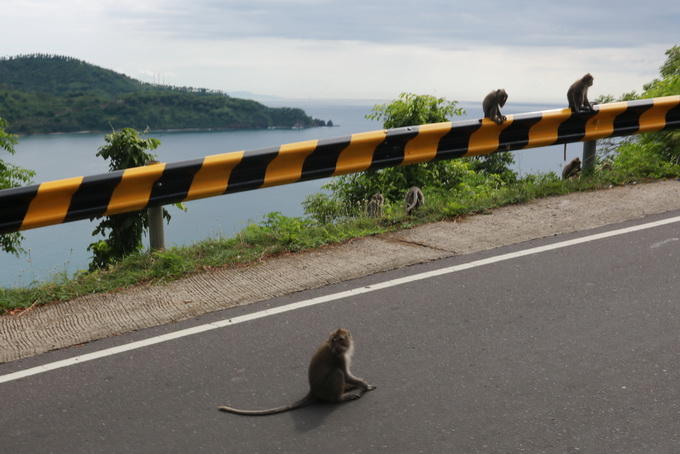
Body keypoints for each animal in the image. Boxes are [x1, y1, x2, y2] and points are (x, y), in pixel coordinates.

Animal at [219, 328, 374, 416]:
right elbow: (346, 374)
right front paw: (365, 386)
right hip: (326, 390)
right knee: (337, 373)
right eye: (334, 340)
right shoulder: (338, 358)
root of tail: (314, 391)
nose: (336, 347)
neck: (332, 348)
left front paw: (359, 384)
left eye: (339, 340)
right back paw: (340, 398)